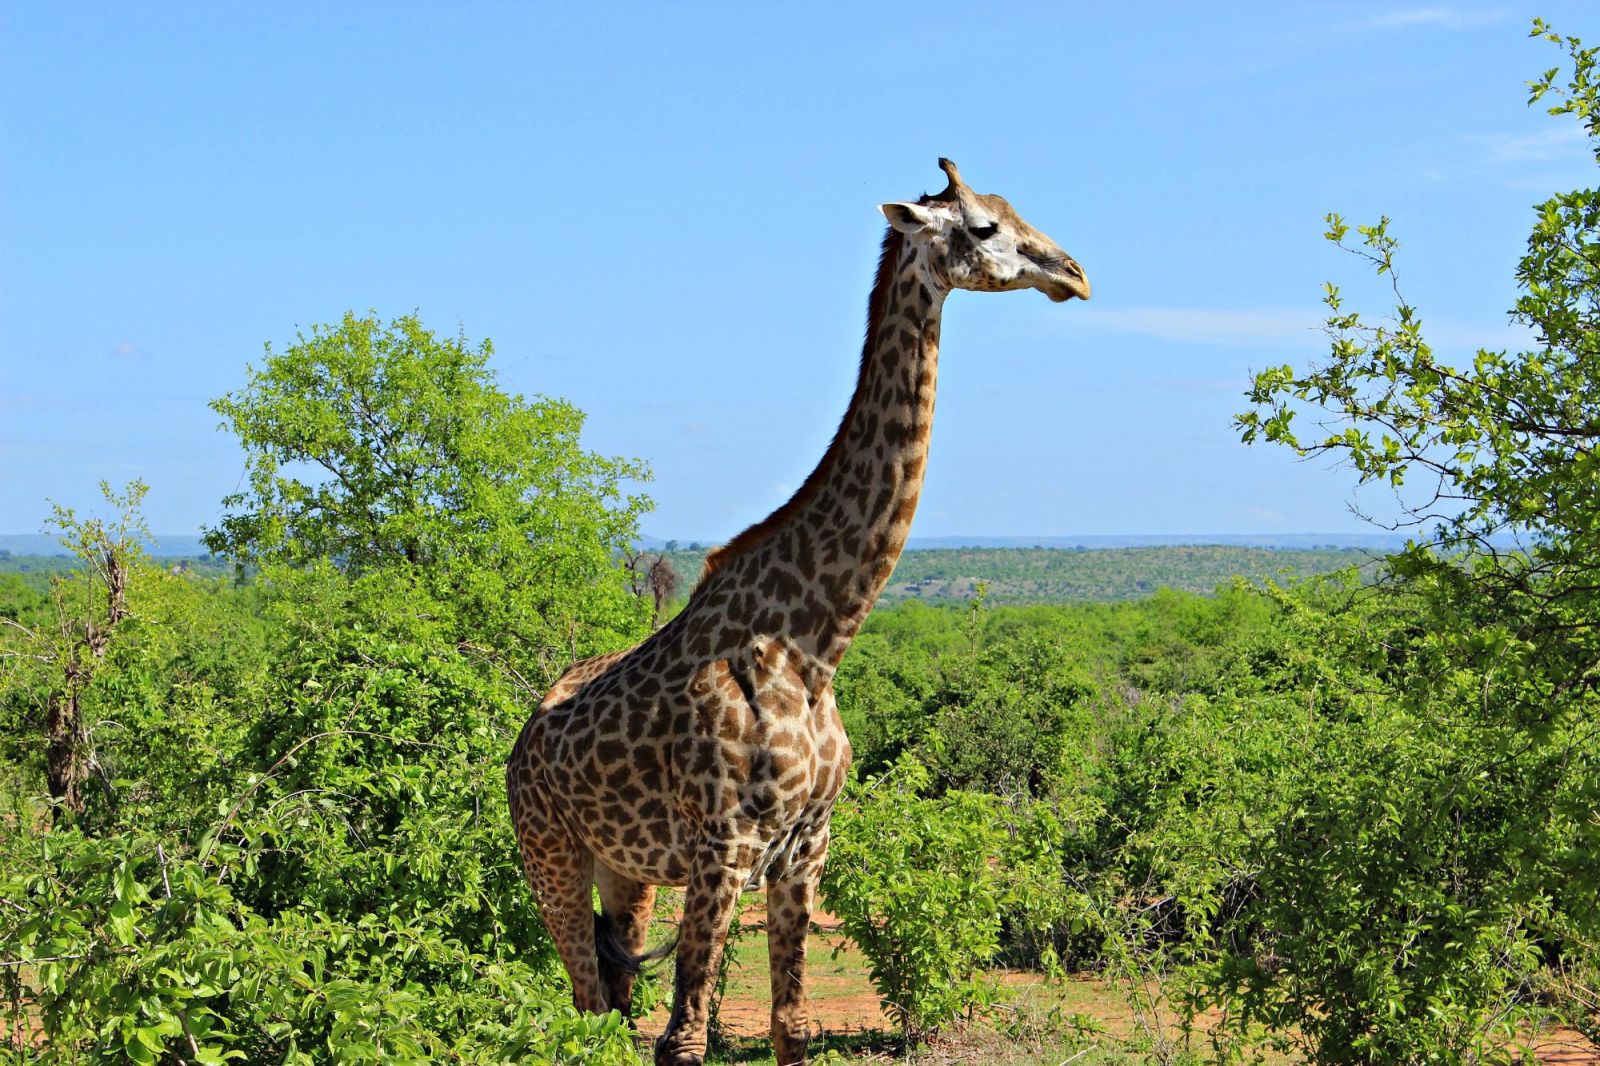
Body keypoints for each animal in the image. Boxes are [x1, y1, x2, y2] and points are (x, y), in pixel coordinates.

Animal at [506, 159, 1089, 1066]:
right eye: (984, 227)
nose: (1074, 274)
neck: (814, 643)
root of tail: (521, 739)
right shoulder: (724, 849)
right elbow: (686, 1036)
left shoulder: (805, 850)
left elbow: (791, 1025)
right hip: (550, 859)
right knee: (585, 1005)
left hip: (625, 873)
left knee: (609, 1001)